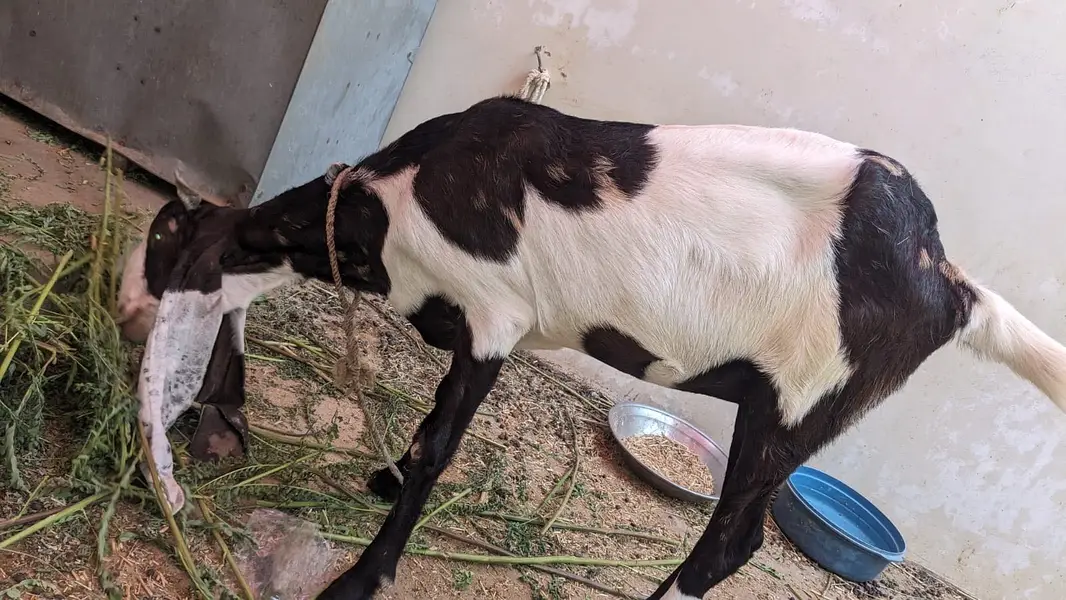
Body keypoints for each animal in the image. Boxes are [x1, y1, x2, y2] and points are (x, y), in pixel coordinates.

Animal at [127, 95, 1066, 600]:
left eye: (167, 234)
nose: (133, 313)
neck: (385, 207)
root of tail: (950, 283)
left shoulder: (495, 316)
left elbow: (439, 449)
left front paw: (364, 575)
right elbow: (429, 423)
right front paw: (383, 476)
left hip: (799, 400)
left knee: (734, 543)